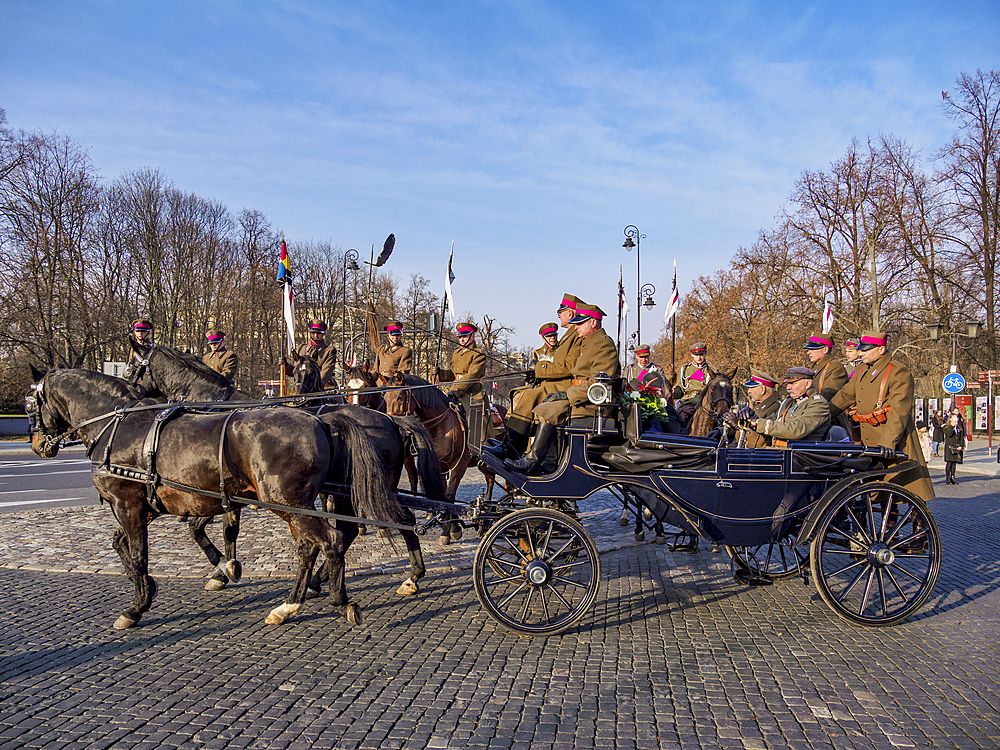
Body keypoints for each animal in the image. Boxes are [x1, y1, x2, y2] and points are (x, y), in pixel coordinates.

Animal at [384, 374, 474, 548]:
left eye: (399, 397)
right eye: (384, 397)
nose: (392, 424)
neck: (443, 427)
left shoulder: (460, 465)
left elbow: (449, 495)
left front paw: (451, 529)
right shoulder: (440, 466)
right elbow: (443, 497)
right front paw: (450, 529)